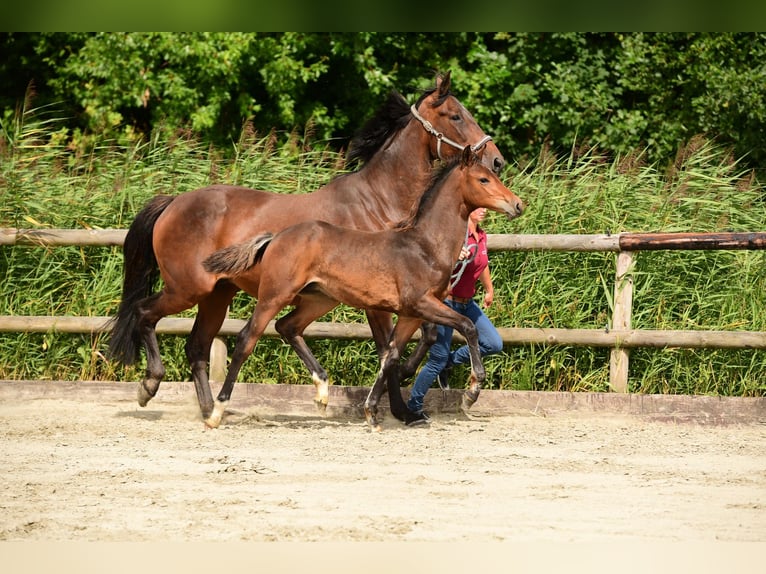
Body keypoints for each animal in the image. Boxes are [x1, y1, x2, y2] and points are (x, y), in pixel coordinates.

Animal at [108, 74, 504, 420]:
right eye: (455, 115)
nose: (496, 160)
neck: (377, 203)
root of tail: (172, 203)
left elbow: (421, 338)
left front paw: (404, 398)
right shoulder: (378, 301)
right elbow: (389, 347)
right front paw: (400, 409)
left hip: (217, 295)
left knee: (196, 346)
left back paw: (209, 409)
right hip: (188, 289)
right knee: (145, 314)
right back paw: (150, 385)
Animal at [204, 148, 524, 432]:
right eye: (483, 179)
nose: (518, 204)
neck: (425, 247)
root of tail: (276, 237)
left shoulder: (410, 314)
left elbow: (390, 355)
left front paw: (371, 412)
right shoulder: (422, 304)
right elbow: (467, 325)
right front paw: (472, 390)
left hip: (320, 300)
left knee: (288, 327)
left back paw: (322, 392)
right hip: (274, 295)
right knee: (247, 339)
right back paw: (216, 412)